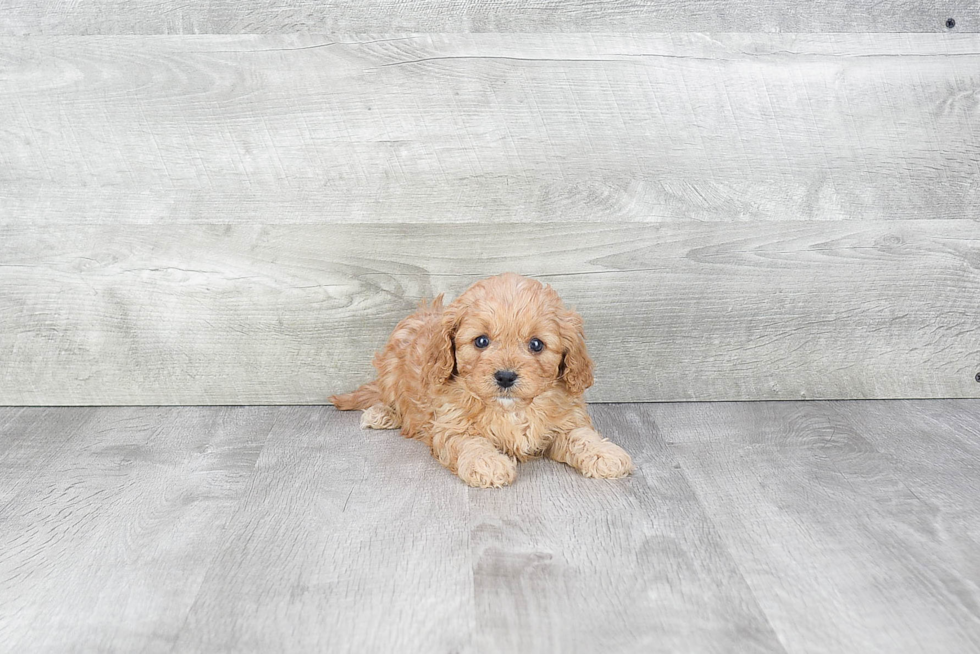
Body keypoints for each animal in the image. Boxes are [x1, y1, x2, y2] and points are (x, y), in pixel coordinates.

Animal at [330, 272, 636, 486]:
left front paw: (605, 453)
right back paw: (383, 413)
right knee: (390, 398)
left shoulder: (564, 421)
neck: (510, 409)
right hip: (391, 369)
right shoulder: (451, 426)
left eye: (536, 345)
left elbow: (581, 436)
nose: (505, 376)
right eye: (481, 341)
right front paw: (488, 464)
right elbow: (471, 443)